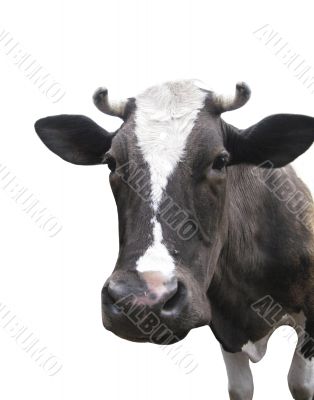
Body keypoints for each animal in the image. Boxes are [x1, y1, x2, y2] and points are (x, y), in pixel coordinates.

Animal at [35, 81, 314, 400]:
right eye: (111, 162)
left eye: (220, 160)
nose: (143, 300)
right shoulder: (223, 324)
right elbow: (240, 387)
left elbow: (299, 383)